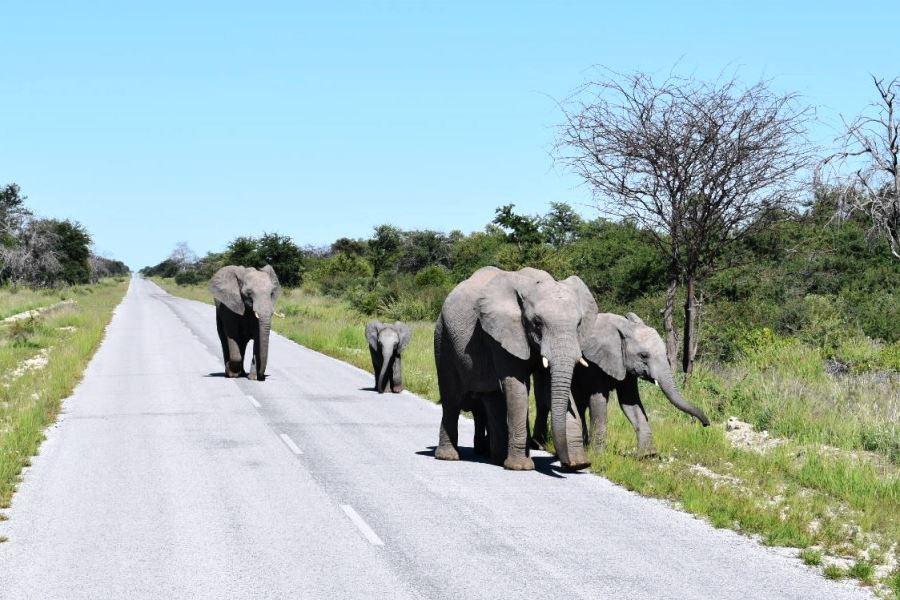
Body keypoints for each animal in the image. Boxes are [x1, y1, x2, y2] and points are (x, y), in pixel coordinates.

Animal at [436, 268, 596, 474]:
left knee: (492, 397)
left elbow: (550, 387)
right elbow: (517, 388)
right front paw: (521, 467)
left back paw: (496, 458)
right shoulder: (501, 334)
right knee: (452, 398)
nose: (566, 463)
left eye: (578, 324)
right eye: (537, 323)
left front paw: (579, 464)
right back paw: (448, 456)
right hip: (443, 339)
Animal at [536, 312, 712, 458]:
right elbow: (599, 401)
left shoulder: (626, 367)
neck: (624, 327)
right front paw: (599, 455)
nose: (706, 424)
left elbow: (630, 402)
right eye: (643, 355)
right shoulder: (594, 363)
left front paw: (647, 455)